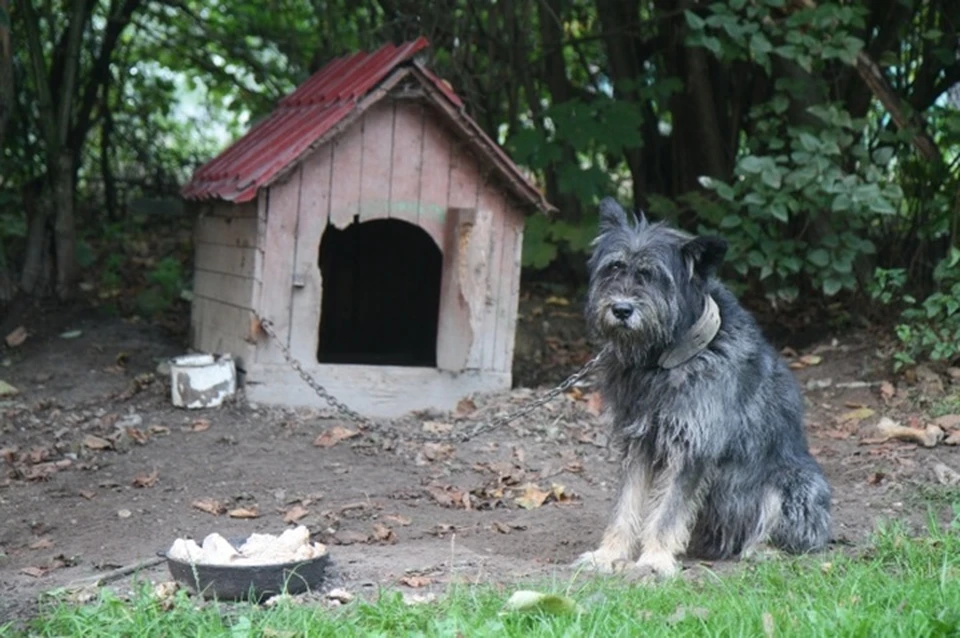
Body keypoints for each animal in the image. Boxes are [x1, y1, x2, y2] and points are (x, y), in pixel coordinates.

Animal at [572, 198, 828, 576]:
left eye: (655, 277)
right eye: (613, 268)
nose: (621, 309)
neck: (665, 361)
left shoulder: (693, 447)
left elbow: (667, 512)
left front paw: (653, 561)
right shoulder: (639, 443)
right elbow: (626, 505)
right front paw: (609, 554)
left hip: (795, 482)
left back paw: (763, 550)